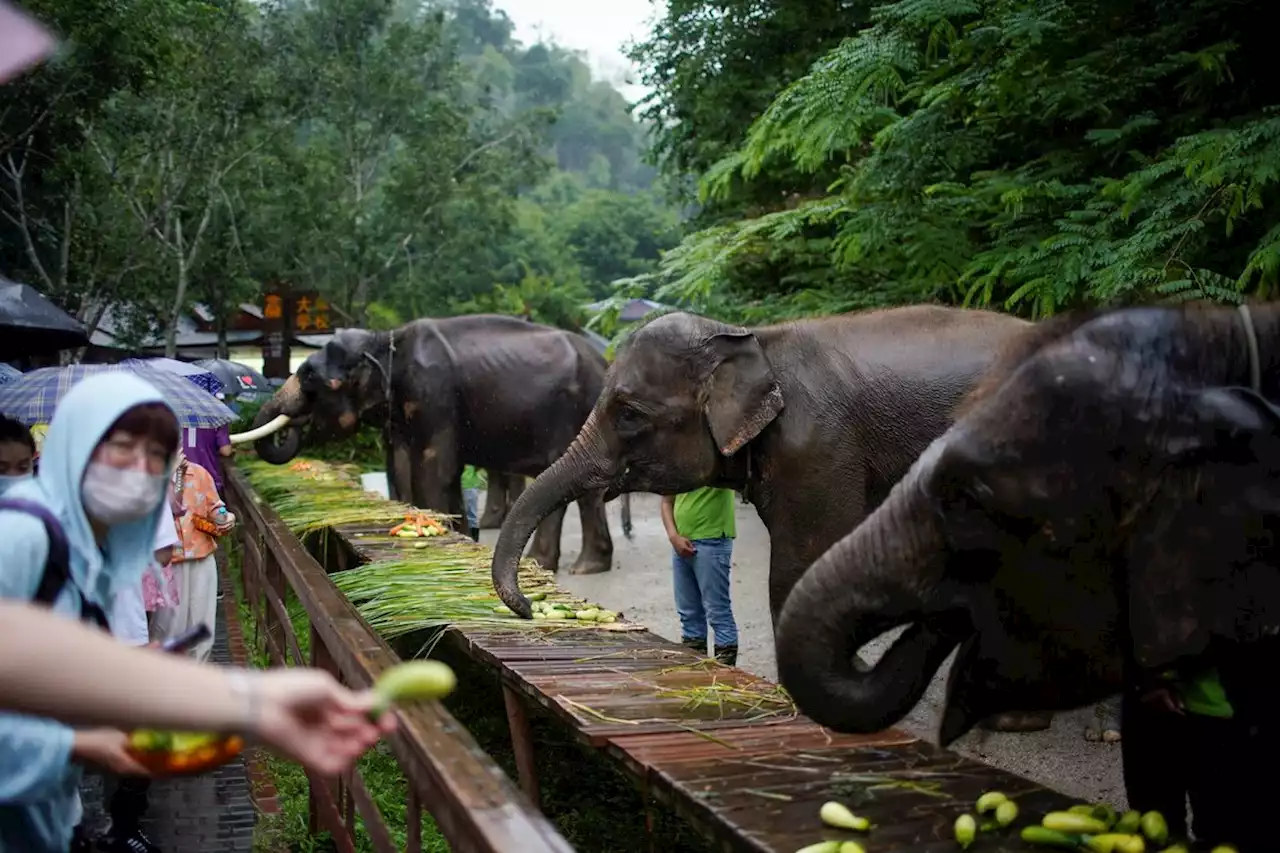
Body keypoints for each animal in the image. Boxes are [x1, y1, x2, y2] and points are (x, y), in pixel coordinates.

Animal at [232, 312, 632, 571]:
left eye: (310, 378)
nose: (290, 425)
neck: (386, 339)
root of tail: (604, 360)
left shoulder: (433, 392)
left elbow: (434, 468)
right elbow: (401, 467)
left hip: (573, 413)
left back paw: (547, 563)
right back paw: (587, 566)